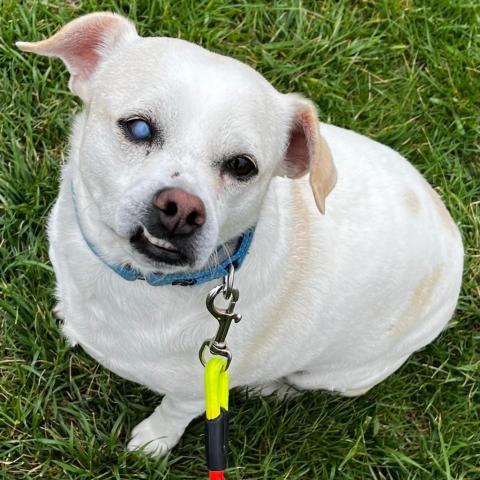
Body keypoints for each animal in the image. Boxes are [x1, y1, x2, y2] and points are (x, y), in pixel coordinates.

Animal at [16, 10, 464, 454]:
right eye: (139, 128)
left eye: (242, 166)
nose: (182, 210)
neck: (138, 279)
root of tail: (455, 239)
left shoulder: (200, 384)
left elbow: (173, 412)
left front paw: (155, 441)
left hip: (335, 375)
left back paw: (269, 387)